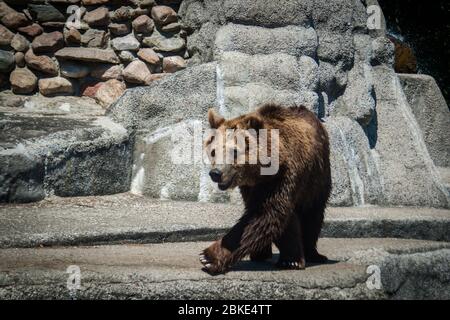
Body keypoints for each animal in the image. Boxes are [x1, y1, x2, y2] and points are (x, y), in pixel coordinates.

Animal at [200, 104, 330, 274]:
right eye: (213, 151)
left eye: (234, 151)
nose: (215, 173)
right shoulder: (250, 187)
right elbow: (274, 218)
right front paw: (289, 258)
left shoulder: (281, 178)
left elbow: (266, 215)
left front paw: (208, 257)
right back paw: (260, 253)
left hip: (317, 178)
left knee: (313, 214)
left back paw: (313, 254)